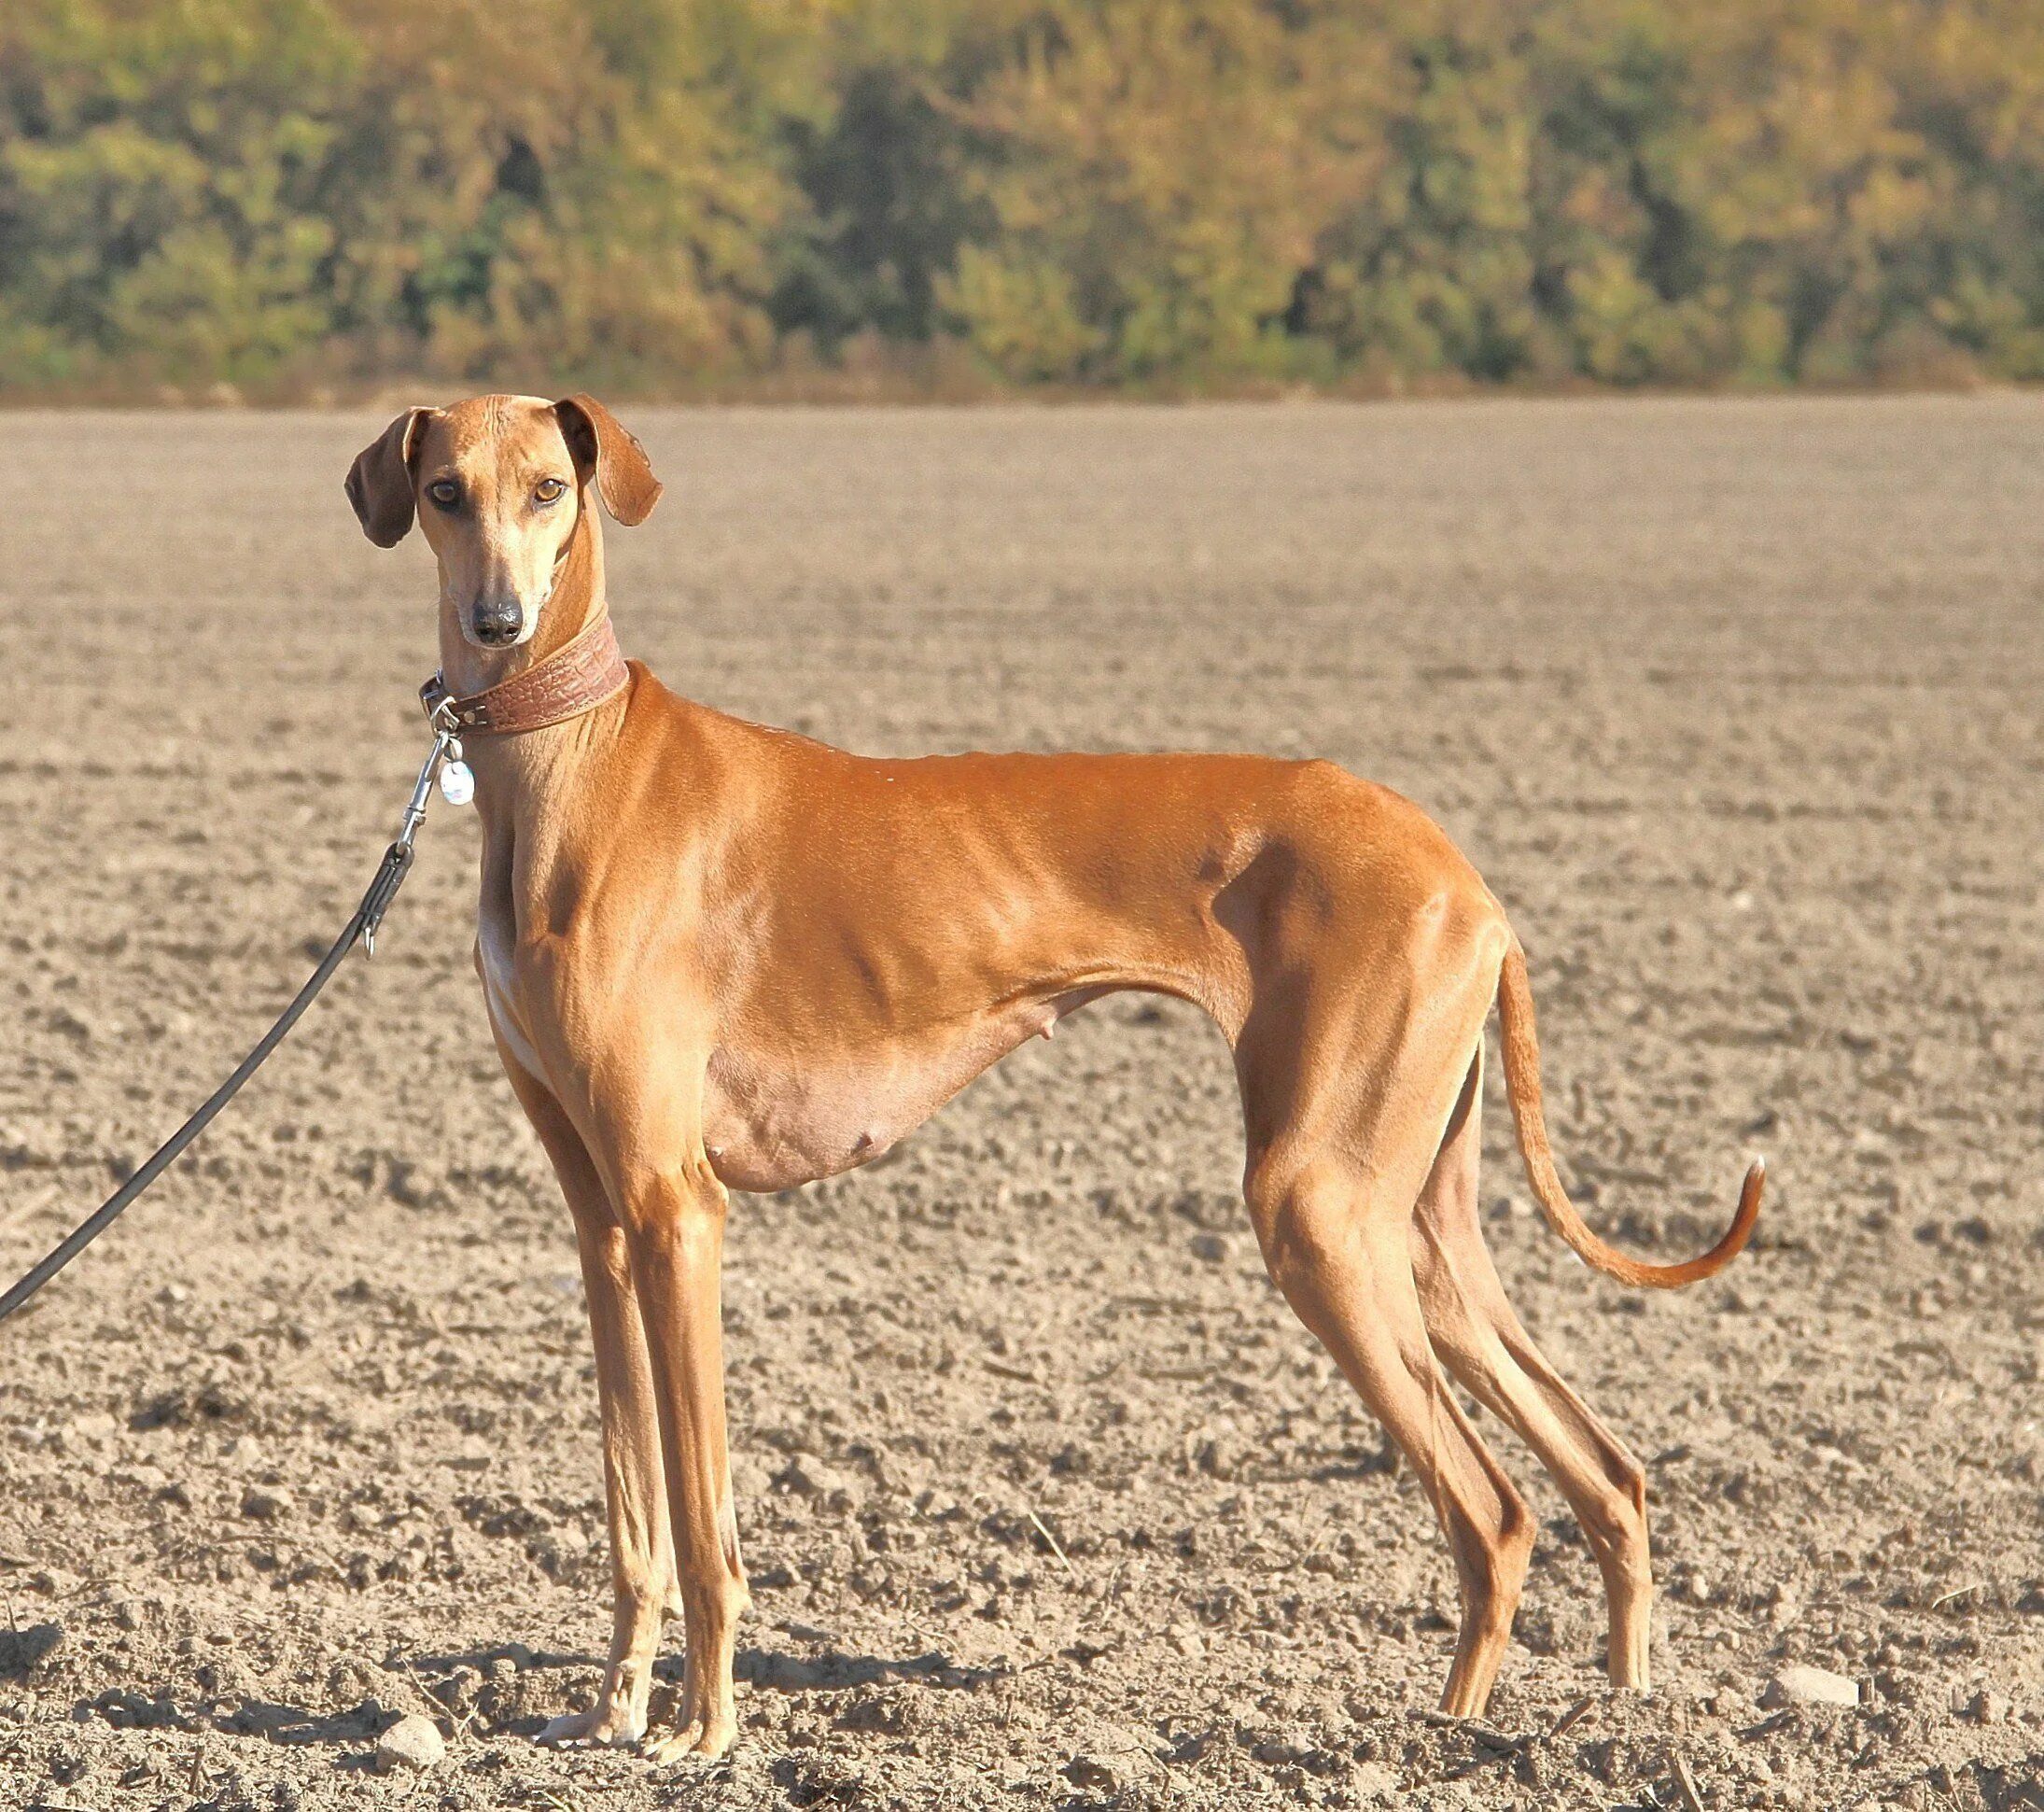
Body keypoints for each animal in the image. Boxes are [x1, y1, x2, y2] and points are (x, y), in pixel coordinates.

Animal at [347, 394, 1757, 1759]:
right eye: (445, 491)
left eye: (552, 490)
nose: (499, 621)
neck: (571, 764)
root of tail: (1464, 873)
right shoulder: (603, 1220)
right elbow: (632, 1506)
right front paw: (610, 1715)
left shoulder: (677, 1206)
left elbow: (702, 1521)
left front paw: (703, 1732)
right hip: (1418, 1230)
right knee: (1606, 1474)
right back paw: (1620, 1715)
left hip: (1319, 1213)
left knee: (1496, 1511)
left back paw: (1448, 1736)